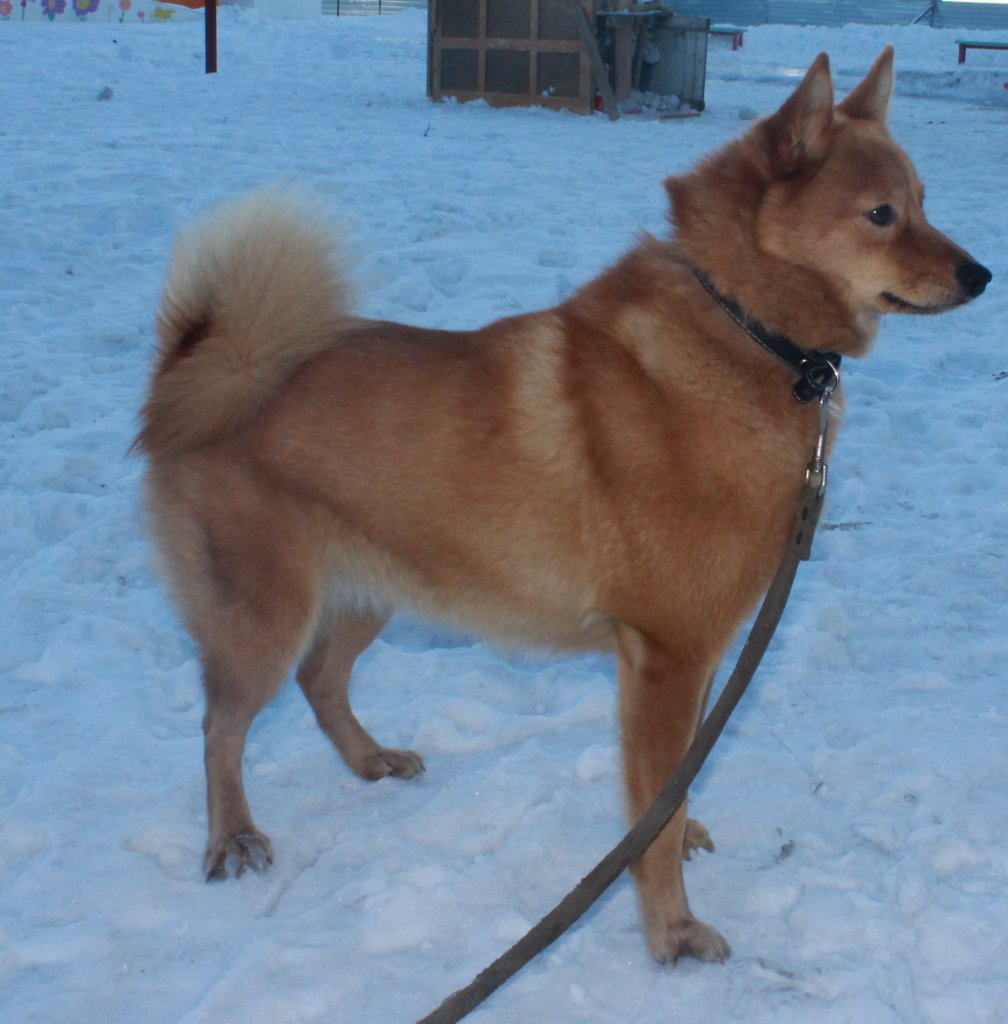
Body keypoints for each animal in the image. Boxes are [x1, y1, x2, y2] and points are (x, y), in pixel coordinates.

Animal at [136, 47, 990, 964]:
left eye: (924, 201)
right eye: (881, 214)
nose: (980, 274)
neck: (743, 326)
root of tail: (200, 370)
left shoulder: (698, 652)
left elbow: (674, 785)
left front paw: (677, 841)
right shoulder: (667, 655)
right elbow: (656, 809)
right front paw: (672, 931)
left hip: (379, 586)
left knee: (319, 678)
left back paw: (370, 761)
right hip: (266, 612)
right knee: (223, 726)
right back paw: (231, 837)